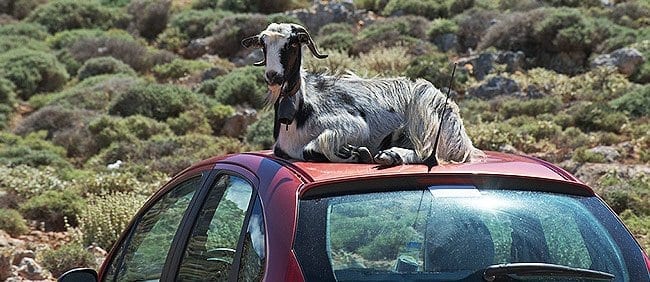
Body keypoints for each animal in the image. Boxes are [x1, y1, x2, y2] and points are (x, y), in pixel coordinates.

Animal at [242, 23, 480, 167]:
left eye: (292, 43)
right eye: (263, 44)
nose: (273, 76)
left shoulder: (352, 125)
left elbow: (311, 149)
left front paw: (355, 153)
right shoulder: (281, 150)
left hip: (424, 110)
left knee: (428, 153)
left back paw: (390, 155)